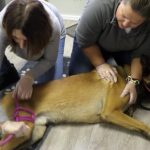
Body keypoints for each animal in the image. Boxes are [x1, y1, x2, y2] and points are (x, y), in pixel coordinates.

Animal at [0, 66, 150, 150]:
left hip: (32, 133)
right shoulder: (110, 112)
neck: (125, 75)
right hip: (23, 127)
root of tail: (8, 95)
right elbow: (143, 124)